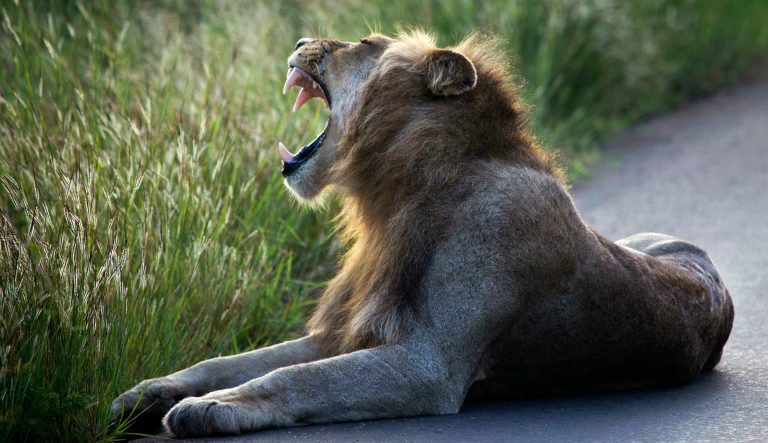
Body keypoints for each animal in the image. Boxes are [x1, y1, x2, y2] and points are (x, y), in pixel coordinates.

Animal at [111, 31, 734, 437]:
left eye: (362, 44)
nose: (301, 38)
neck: (396, 195)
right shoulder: (348, 330)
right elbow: (237, 359)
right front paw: (148, 392)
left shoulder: (427, 364)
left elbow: (295, 378)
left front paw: (211, 407)